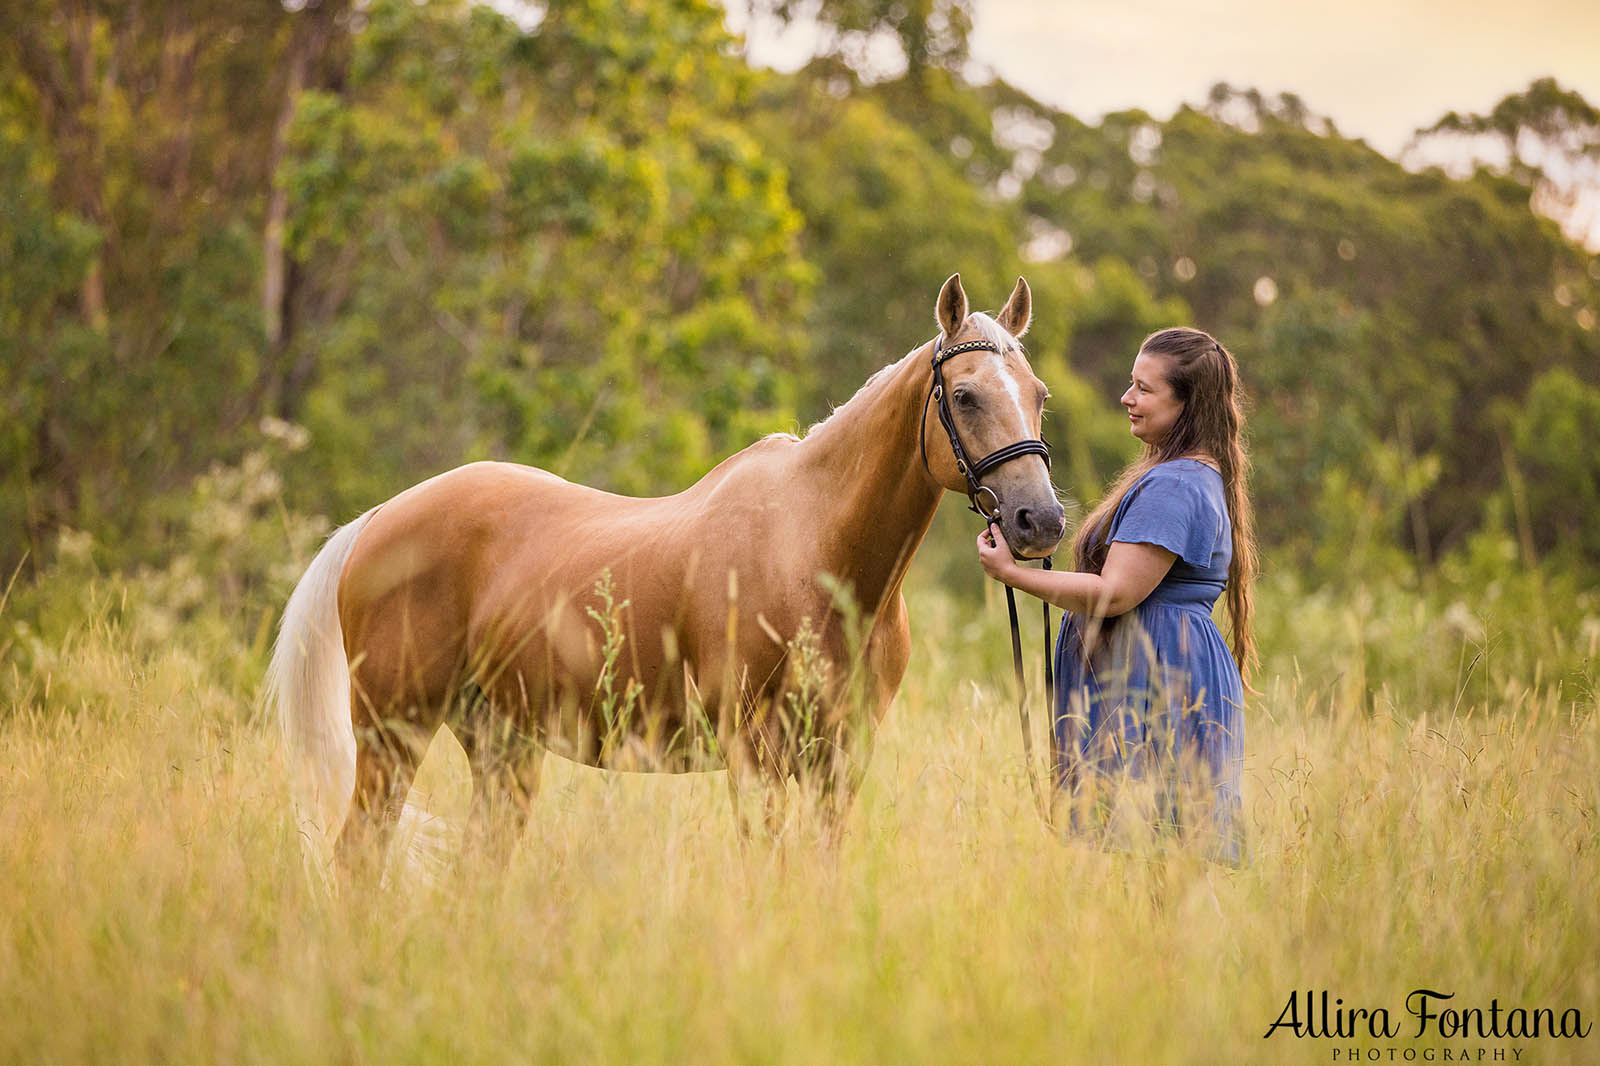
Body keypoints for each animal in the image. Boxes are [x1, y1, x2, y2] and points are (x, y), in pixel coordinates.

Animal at [265, 270, 1062, 870]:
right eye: (965, 394)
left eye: (1039, 395)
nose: (1040, 521)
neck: (814, 551)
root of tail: (378, 520)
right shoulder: (754, 755)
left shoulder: (840, 759)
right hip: (393, 734)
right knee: (357, 855)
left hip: (501, 744)